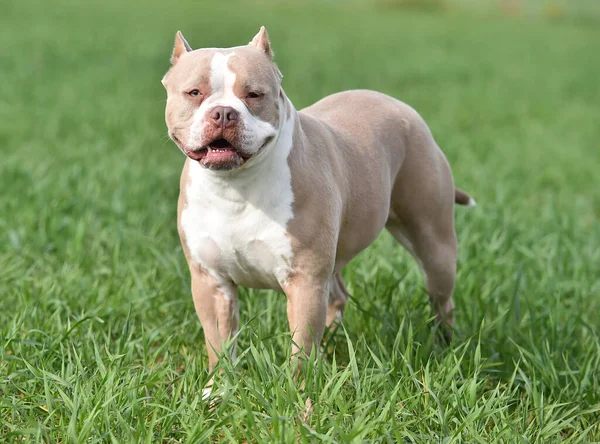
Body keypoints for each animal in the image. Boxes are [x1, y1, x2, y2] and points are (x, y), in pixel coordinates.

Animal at [162, 26, 476, 382]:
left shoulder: (305, 281)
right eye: (194, 92)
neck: (236, 188)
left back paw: (445, 346)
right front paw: (218, 389)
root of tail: (396, 104)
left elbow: (301, 348)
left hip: (433, 243)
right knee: (338, 295)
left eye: (254, 94)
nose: (225, 113)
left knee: (441, 299)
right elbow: (220, 346)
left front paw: (298, 391)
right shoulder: (211, 282)